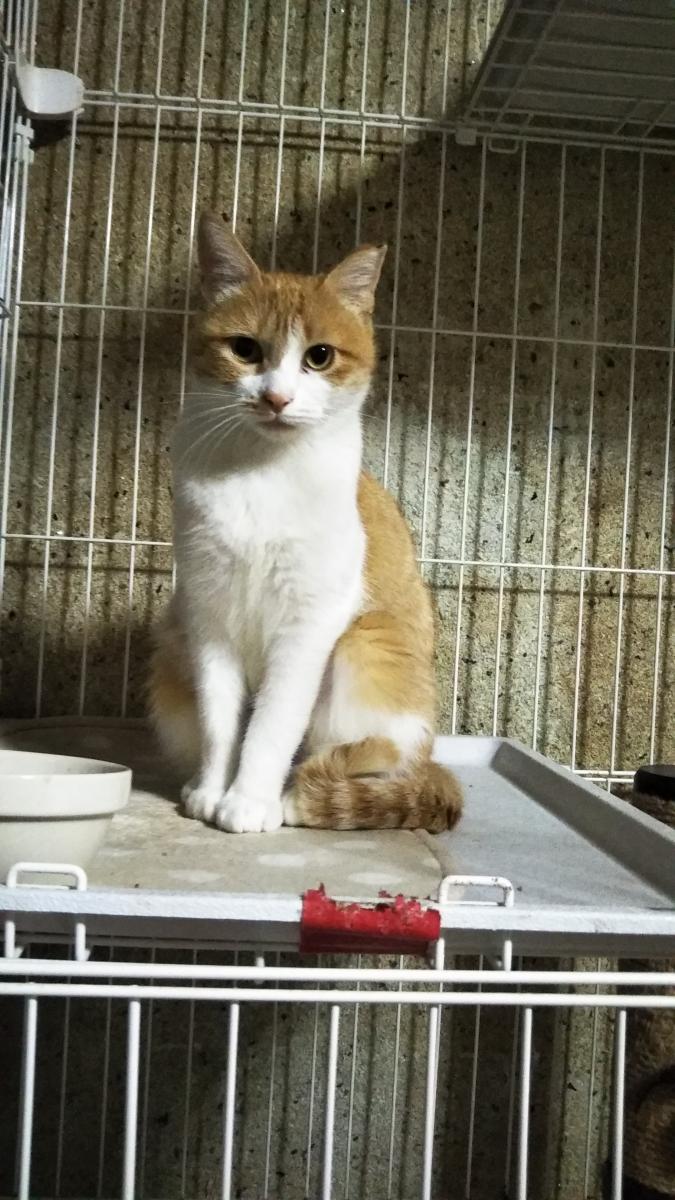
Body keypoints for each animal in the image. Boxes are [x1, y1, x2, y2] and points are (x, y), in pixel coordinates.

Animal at [149, 211, 462, 834]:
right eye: (245, 349)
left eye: (319, 356)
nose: (276, 397)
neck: (259, 475)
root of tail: (432, 758)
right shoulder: (207, 616)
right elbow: (222, 721)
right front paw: (213, 790)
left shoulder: (309, 622)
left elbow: (272, 724)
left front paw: (249, 800)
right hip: (172, 648)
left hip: (366, 647)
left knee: (375, 760)